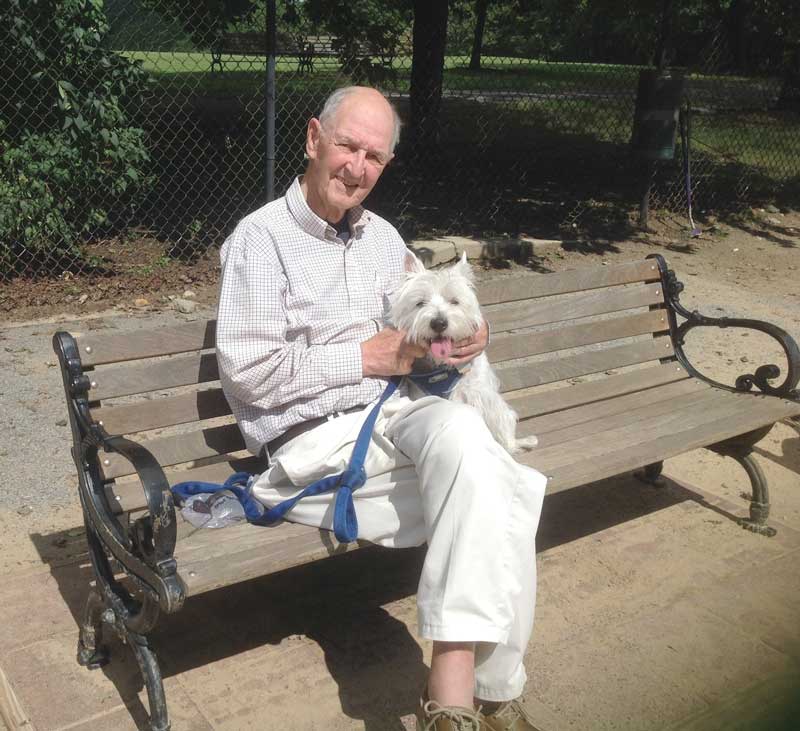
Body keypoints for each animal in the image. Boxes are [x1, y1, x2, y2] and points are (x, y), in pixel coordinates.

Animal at [390, 254, 536, 454]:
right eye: (420, 303)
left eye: (454, 301)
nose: (439, 323)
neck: (442, 366)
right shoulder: (421, 394)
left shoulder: (479, 394)